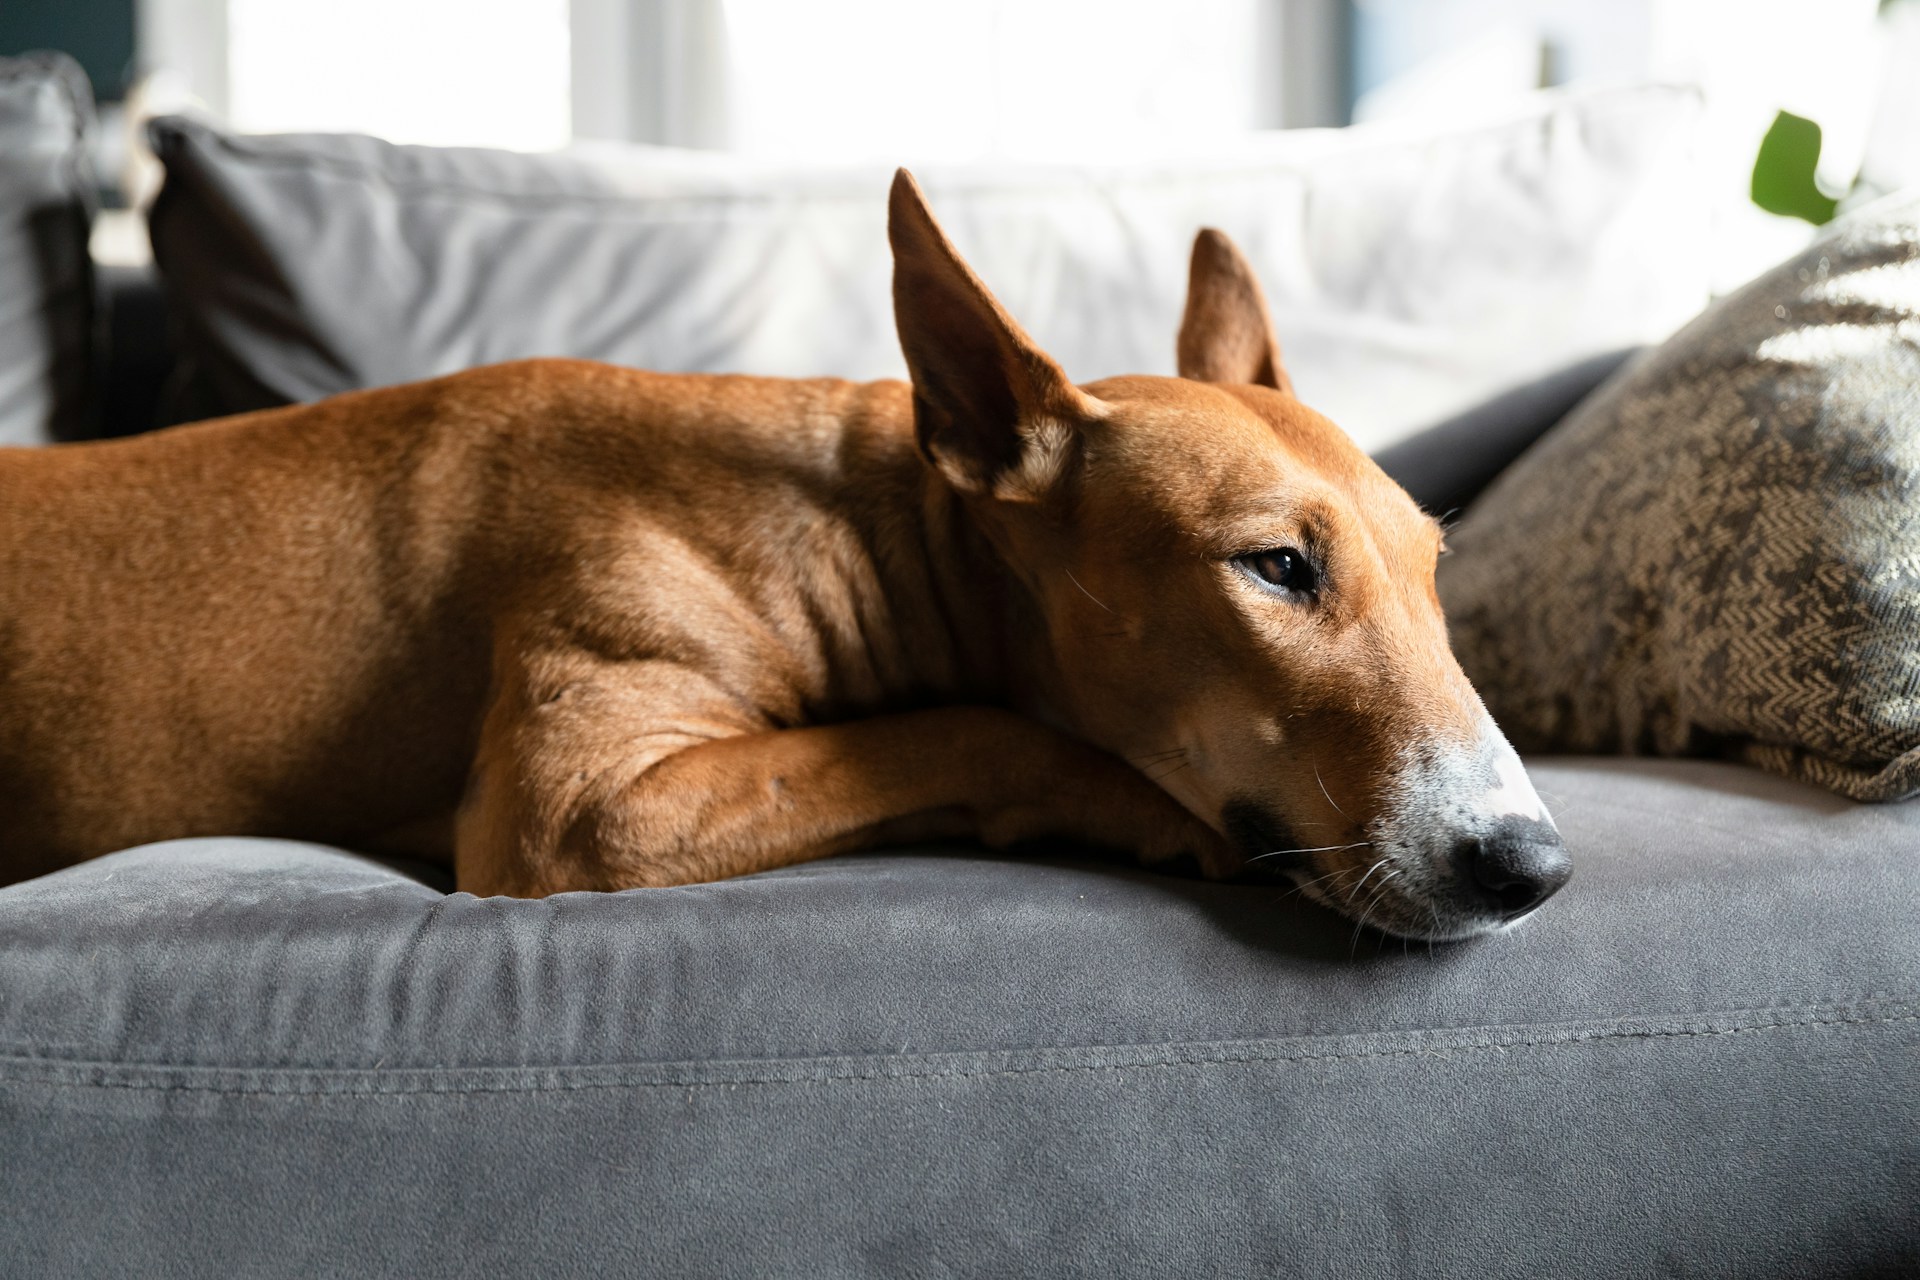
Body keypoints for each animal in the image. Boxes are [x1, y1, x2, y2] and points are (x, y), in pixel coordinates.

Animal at [0, 172, 1566, 940]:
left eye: (1434, 574)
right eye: (1277, 569)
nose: (1532, 866)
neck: (854, 535)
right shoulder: (575, 808)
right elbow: (971, 727)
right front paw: (1146, 814)